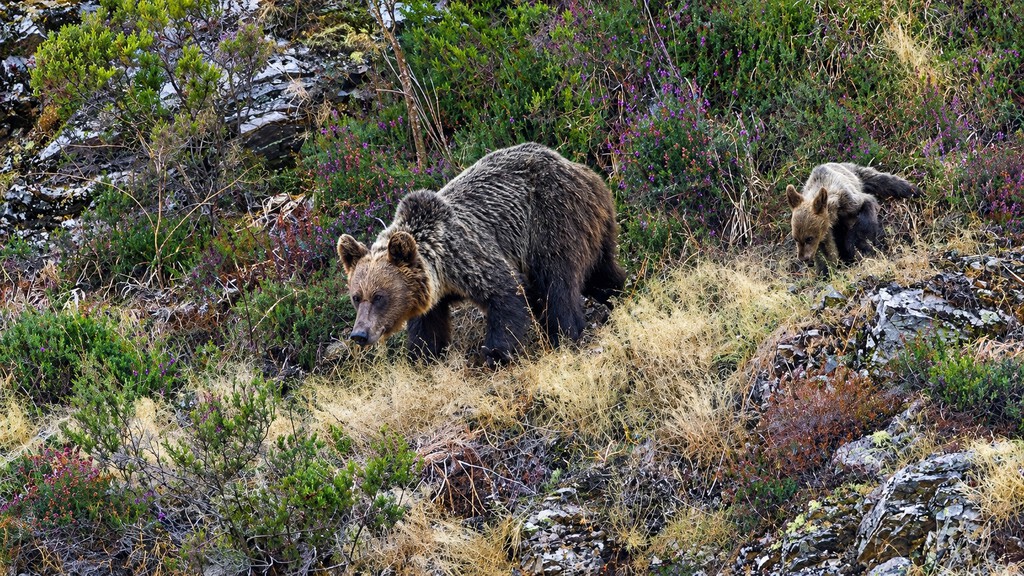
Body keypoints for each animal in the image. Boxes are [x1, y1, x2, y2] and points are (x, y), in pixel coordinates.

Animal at [336, 142, 626, 366]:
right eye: (356, 297)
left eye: (379, 296)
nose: (359, 334)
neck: (441, 270)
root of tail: (581, 169)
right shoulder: (430, 292)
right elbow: (428, 326)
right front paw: (423, 356)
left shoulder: (468, 255)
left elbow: (506, 293)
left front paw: (496, 353)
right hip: (594, 226)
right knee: (600, 270)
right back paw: (618, 292)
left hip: (551, 221)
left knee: (558, 281)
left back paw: (565, 332)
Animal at [786, 162, 920, 267]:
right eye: (796, 238)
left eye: (809, 238)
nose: (803, 258)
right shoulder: (825, 230)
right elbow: (827, 249)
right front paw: (828, 268)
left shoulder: (849, 200)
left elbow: (864, 216)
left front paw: (858, 246)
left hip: (857, 175)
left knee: (881, 179)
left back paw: (914, 190)